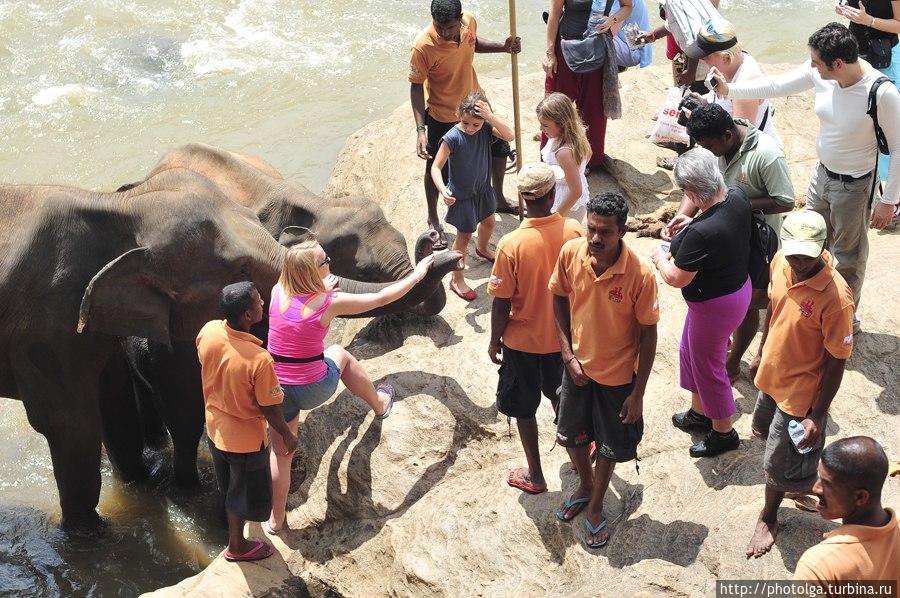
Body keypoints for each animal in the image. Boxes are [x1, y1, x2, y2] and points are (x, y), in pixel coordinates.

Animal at [0, 171, 460, 532]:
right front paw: (97, 533)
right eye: (240, 269)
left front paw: (146, 483)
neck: (115, 207)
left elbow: (113, 403)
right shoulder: (46, 326)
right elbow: (71, 424)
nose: (439, 243)